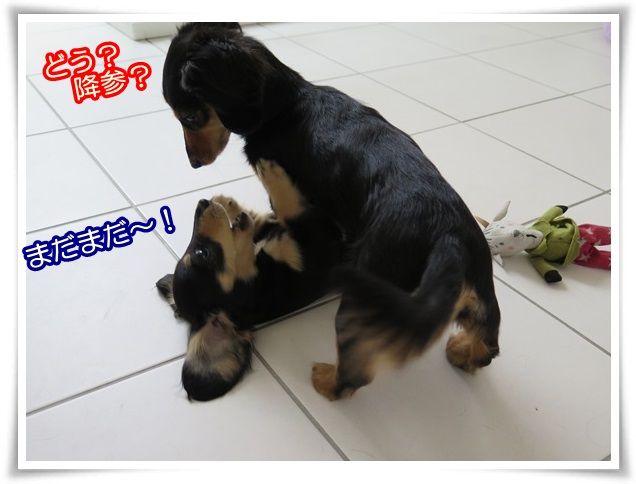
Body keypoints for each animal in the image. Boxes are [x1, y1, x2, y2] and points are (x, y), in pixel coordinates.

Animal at [157, 160, 343, 401]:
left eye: (195, 252)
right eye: (202, 253)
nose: (202, 203)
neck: (259, 272)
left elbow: (260, 222)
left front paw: (227, 203)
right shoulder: (309, 246)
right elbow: (291, 209)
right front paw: (273, 174)